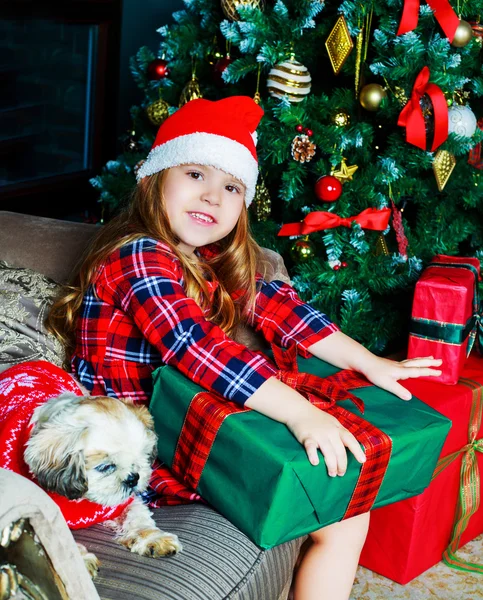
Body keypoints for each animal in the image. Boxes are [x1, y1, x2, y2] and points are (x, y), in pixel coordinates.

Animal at [0, 360, 182, 576]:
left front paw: (153, 538)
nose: (133, 478)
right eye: (106, 467)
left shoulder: (122, 503)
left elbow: (137, 515)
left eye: (143, 458)